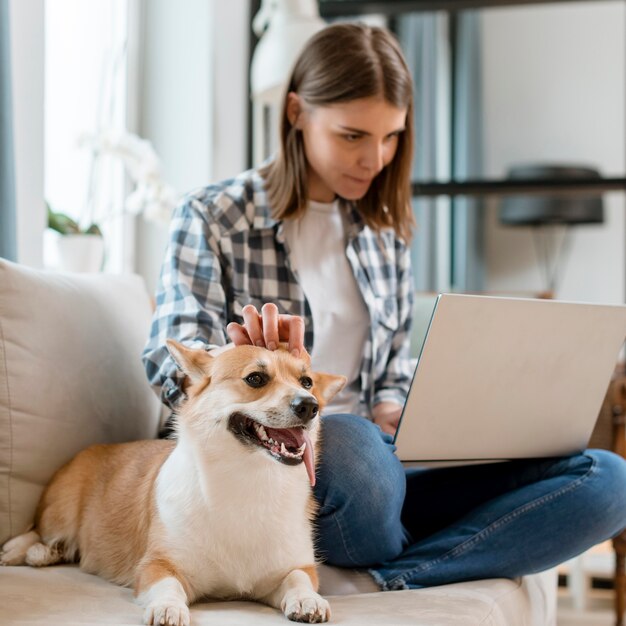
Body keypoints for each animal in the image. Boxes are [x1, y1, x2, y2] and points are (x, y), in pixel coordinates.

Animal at [0, 342, 344, 624]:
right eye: (256, 379)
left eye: (307, 382)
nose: (310, 405)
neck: (249, 478)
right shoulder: (156, 565)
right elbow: (169, 585)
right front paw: (168, 609)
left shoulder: (294, 568)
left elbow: (298, 579)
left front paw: (308, 600)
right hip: (61, 510)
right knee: (38, 530)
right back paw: (23, 551)